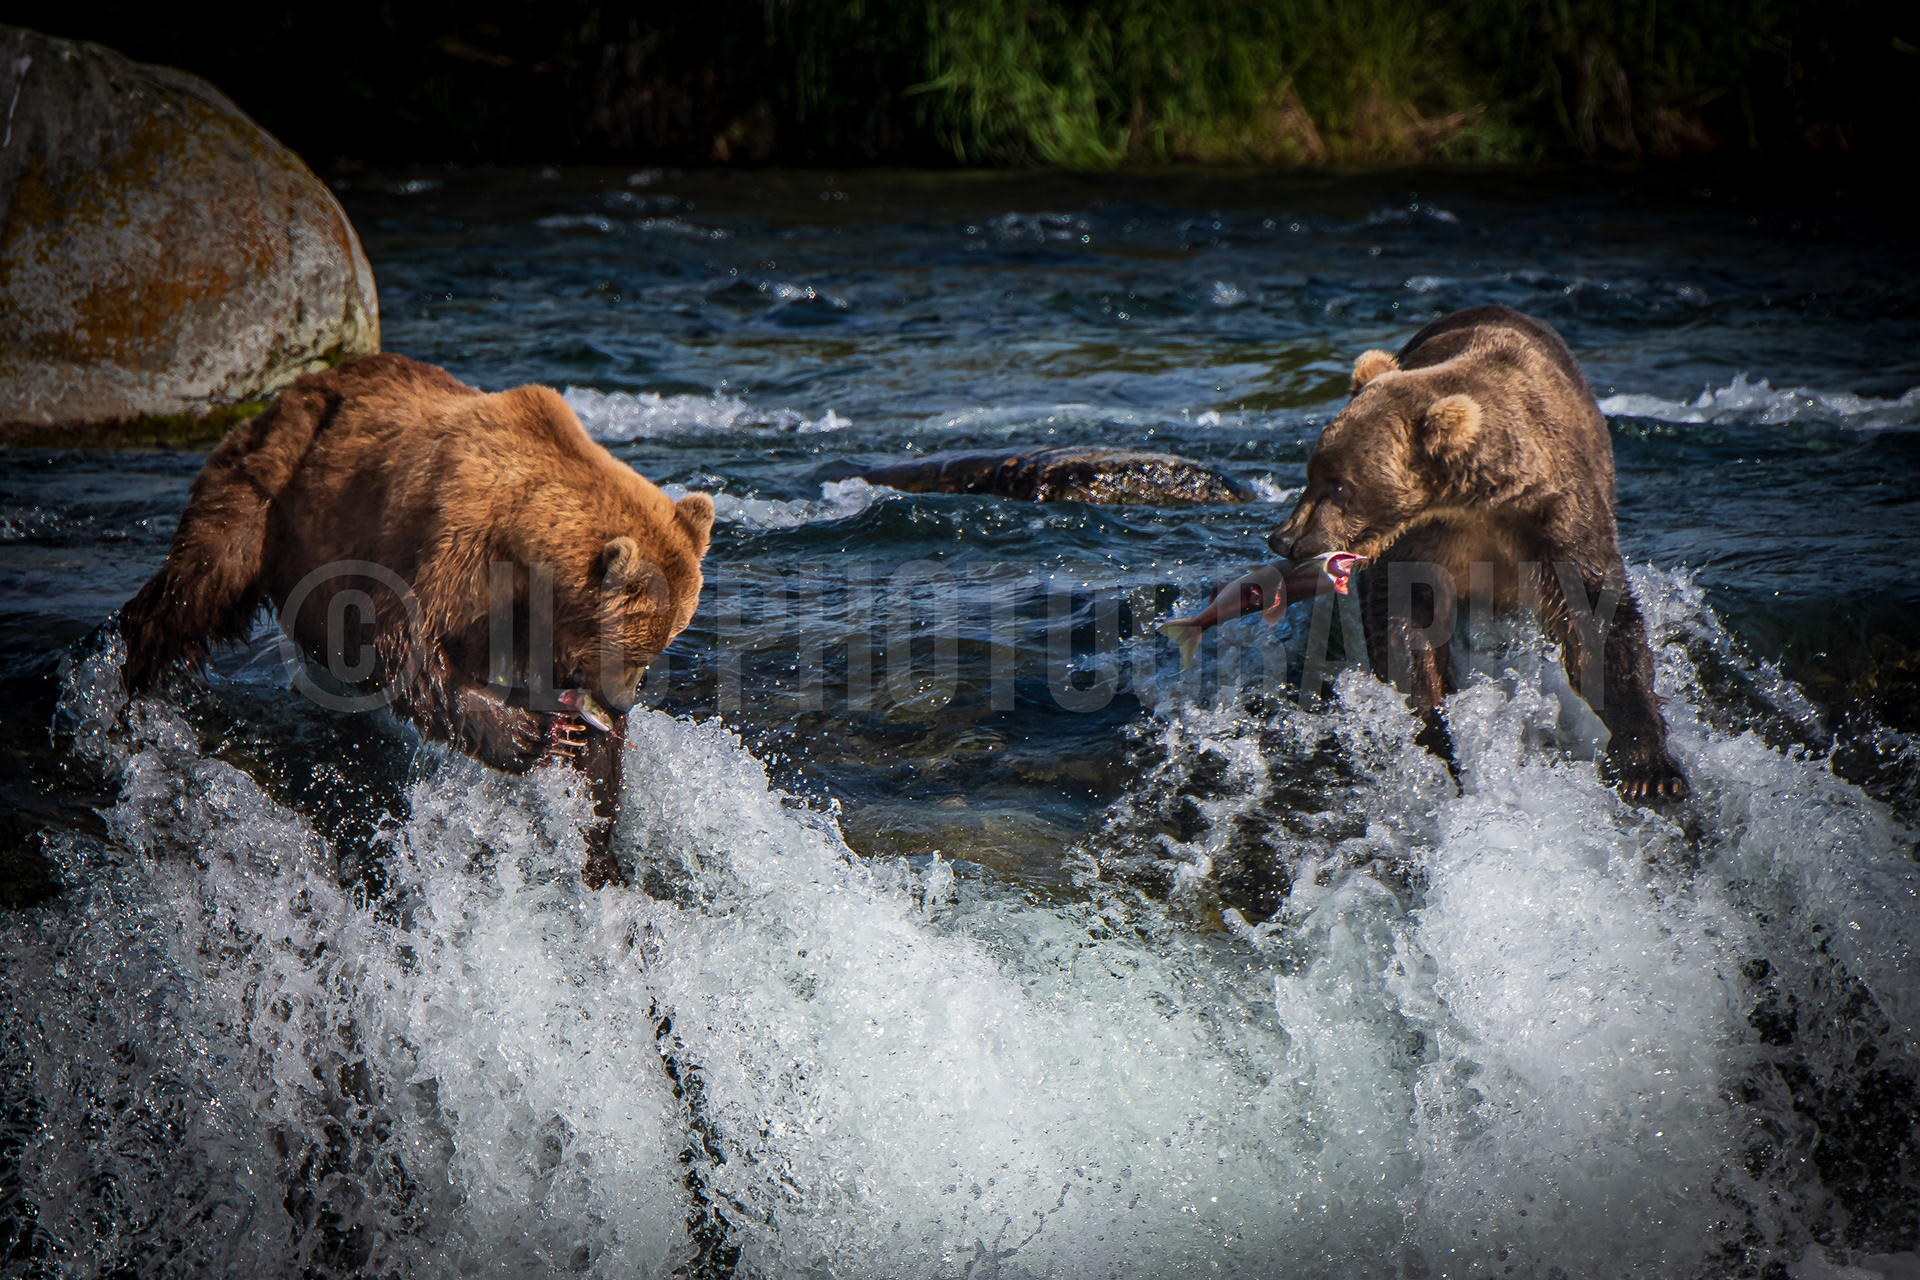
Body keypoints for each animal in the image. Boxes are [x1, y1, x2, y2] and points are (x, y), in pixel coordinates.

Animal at [118, 353, 716, 884]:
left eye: (662, 646)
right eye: (636, 650)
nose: (623, 702)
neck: (526, 558)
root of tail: (297, 386)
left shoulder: (539, 625)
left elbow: (594, 769)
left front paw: (598, 841)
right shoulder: (454, 549)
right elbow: (397, 645)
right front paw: (531, 733)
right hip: (275, 484)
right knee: (203, 574)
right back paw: (134, 675)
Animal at [1267, 305, 1688, 799]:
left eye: (1338, 485)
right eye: (1311, 473)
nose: (1285, 539)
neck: (1478, 501)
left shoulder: (1555, 518)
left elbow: (1599, 618)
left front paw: (1650, 770)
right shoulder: (1426, 541)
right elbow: (1407, 626)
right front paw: (1436, 735)